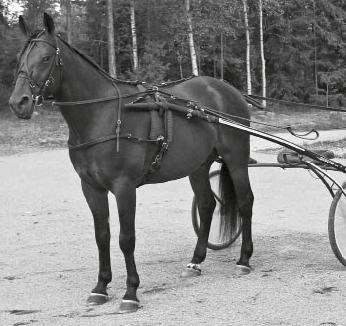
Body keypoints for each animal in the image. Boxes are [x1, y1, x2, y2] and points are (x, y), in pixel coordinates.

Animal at [8, 13, 254, 314]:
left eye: (45, 58)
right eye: (19, 57)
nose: (18, 102)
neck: (103, 115)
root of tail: (226, 90)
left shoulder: (124, 187)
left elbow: (126, 238)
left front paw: (130, 292)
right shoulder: (91, 187)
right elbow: (102, 236)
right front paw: (101, 287)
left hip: (236, 158)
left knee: (245, 201)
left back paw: (244, 260)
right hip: (198, 165)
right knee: (207, 205)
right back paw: (195, 262)